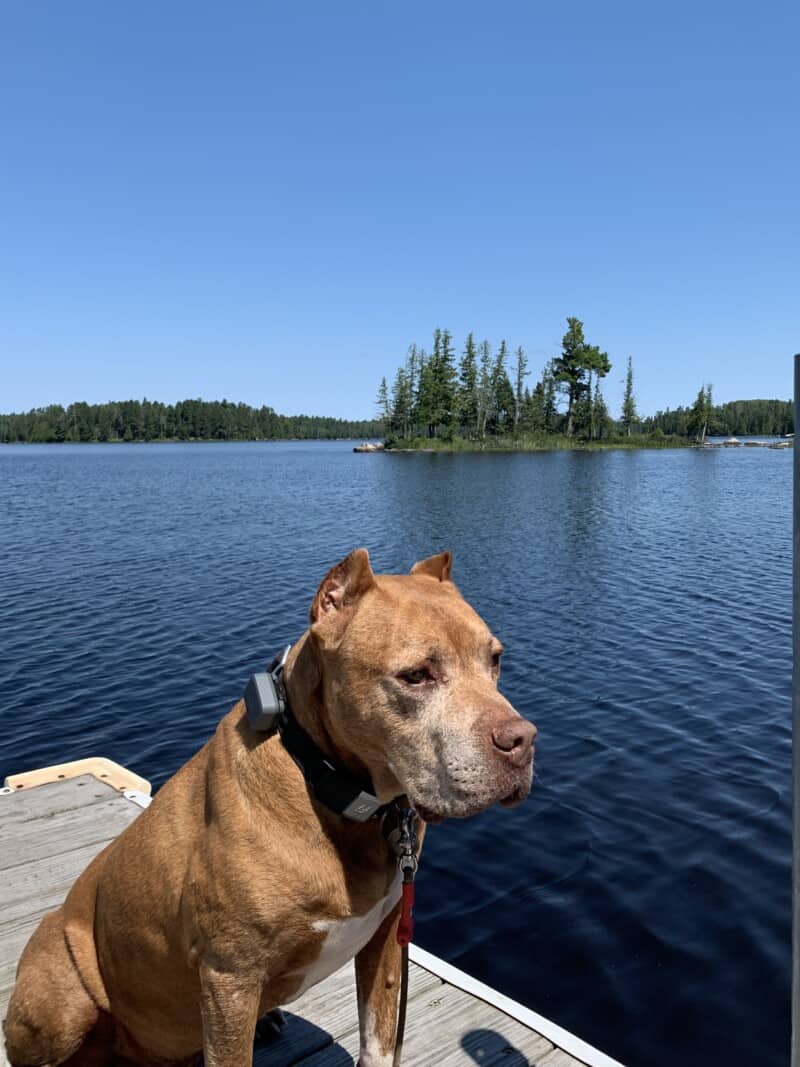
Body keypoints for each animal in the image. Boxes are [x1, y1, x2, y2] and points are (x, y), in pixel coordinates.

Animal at [4, 550, 539, 1067]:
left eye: (495, 659)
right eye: (415, 676)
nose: (523, 741)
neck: (332, 790)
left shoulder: (387, 940)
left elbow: (379, 1042)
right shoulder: (229, 978)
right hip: (62, 994)